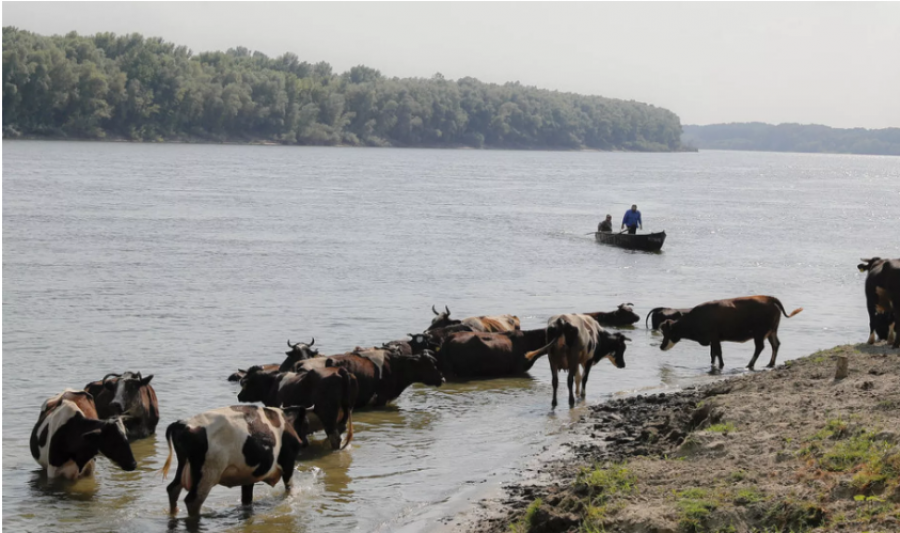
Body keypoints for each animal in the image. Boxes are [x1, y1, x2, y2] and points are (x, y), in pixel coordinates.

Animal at [163, 404, 312, 516]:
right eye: (306, 423)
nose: (306, 443)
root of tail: (182, 424)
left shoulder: (249, 476)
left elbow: (247, 499)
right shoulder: (288, 463)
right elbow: (290, 489)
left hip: (184, 466)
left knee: (173, 489)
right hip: (208, 474)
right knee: (193, 500)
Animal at [656, 296, 804, 370]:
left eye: (667, 333)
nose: (661, 347)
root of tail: (769, 298)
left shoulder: (714, 338)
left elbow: (718, 353)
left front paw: (721, 365)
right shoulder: (713, 340)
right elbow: (713, 354)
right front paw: (714, 365)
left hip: (759, 333)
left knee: (760, 347)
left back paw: (750, 364)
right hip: (772, 330)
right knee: (775, 344)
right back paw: (770, 364)